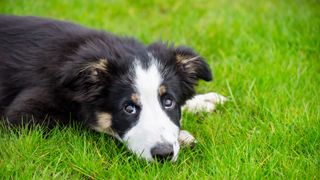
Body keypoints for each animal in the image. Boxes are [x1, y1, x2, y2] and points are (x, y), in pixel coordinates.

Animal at [0, 15, 226, 162]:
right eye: (129, 108)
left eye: (169, 102)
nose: (164, 154)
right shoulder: (23, 115)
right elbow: (83, 125)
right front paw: (184, 136)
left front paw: (203, 101)